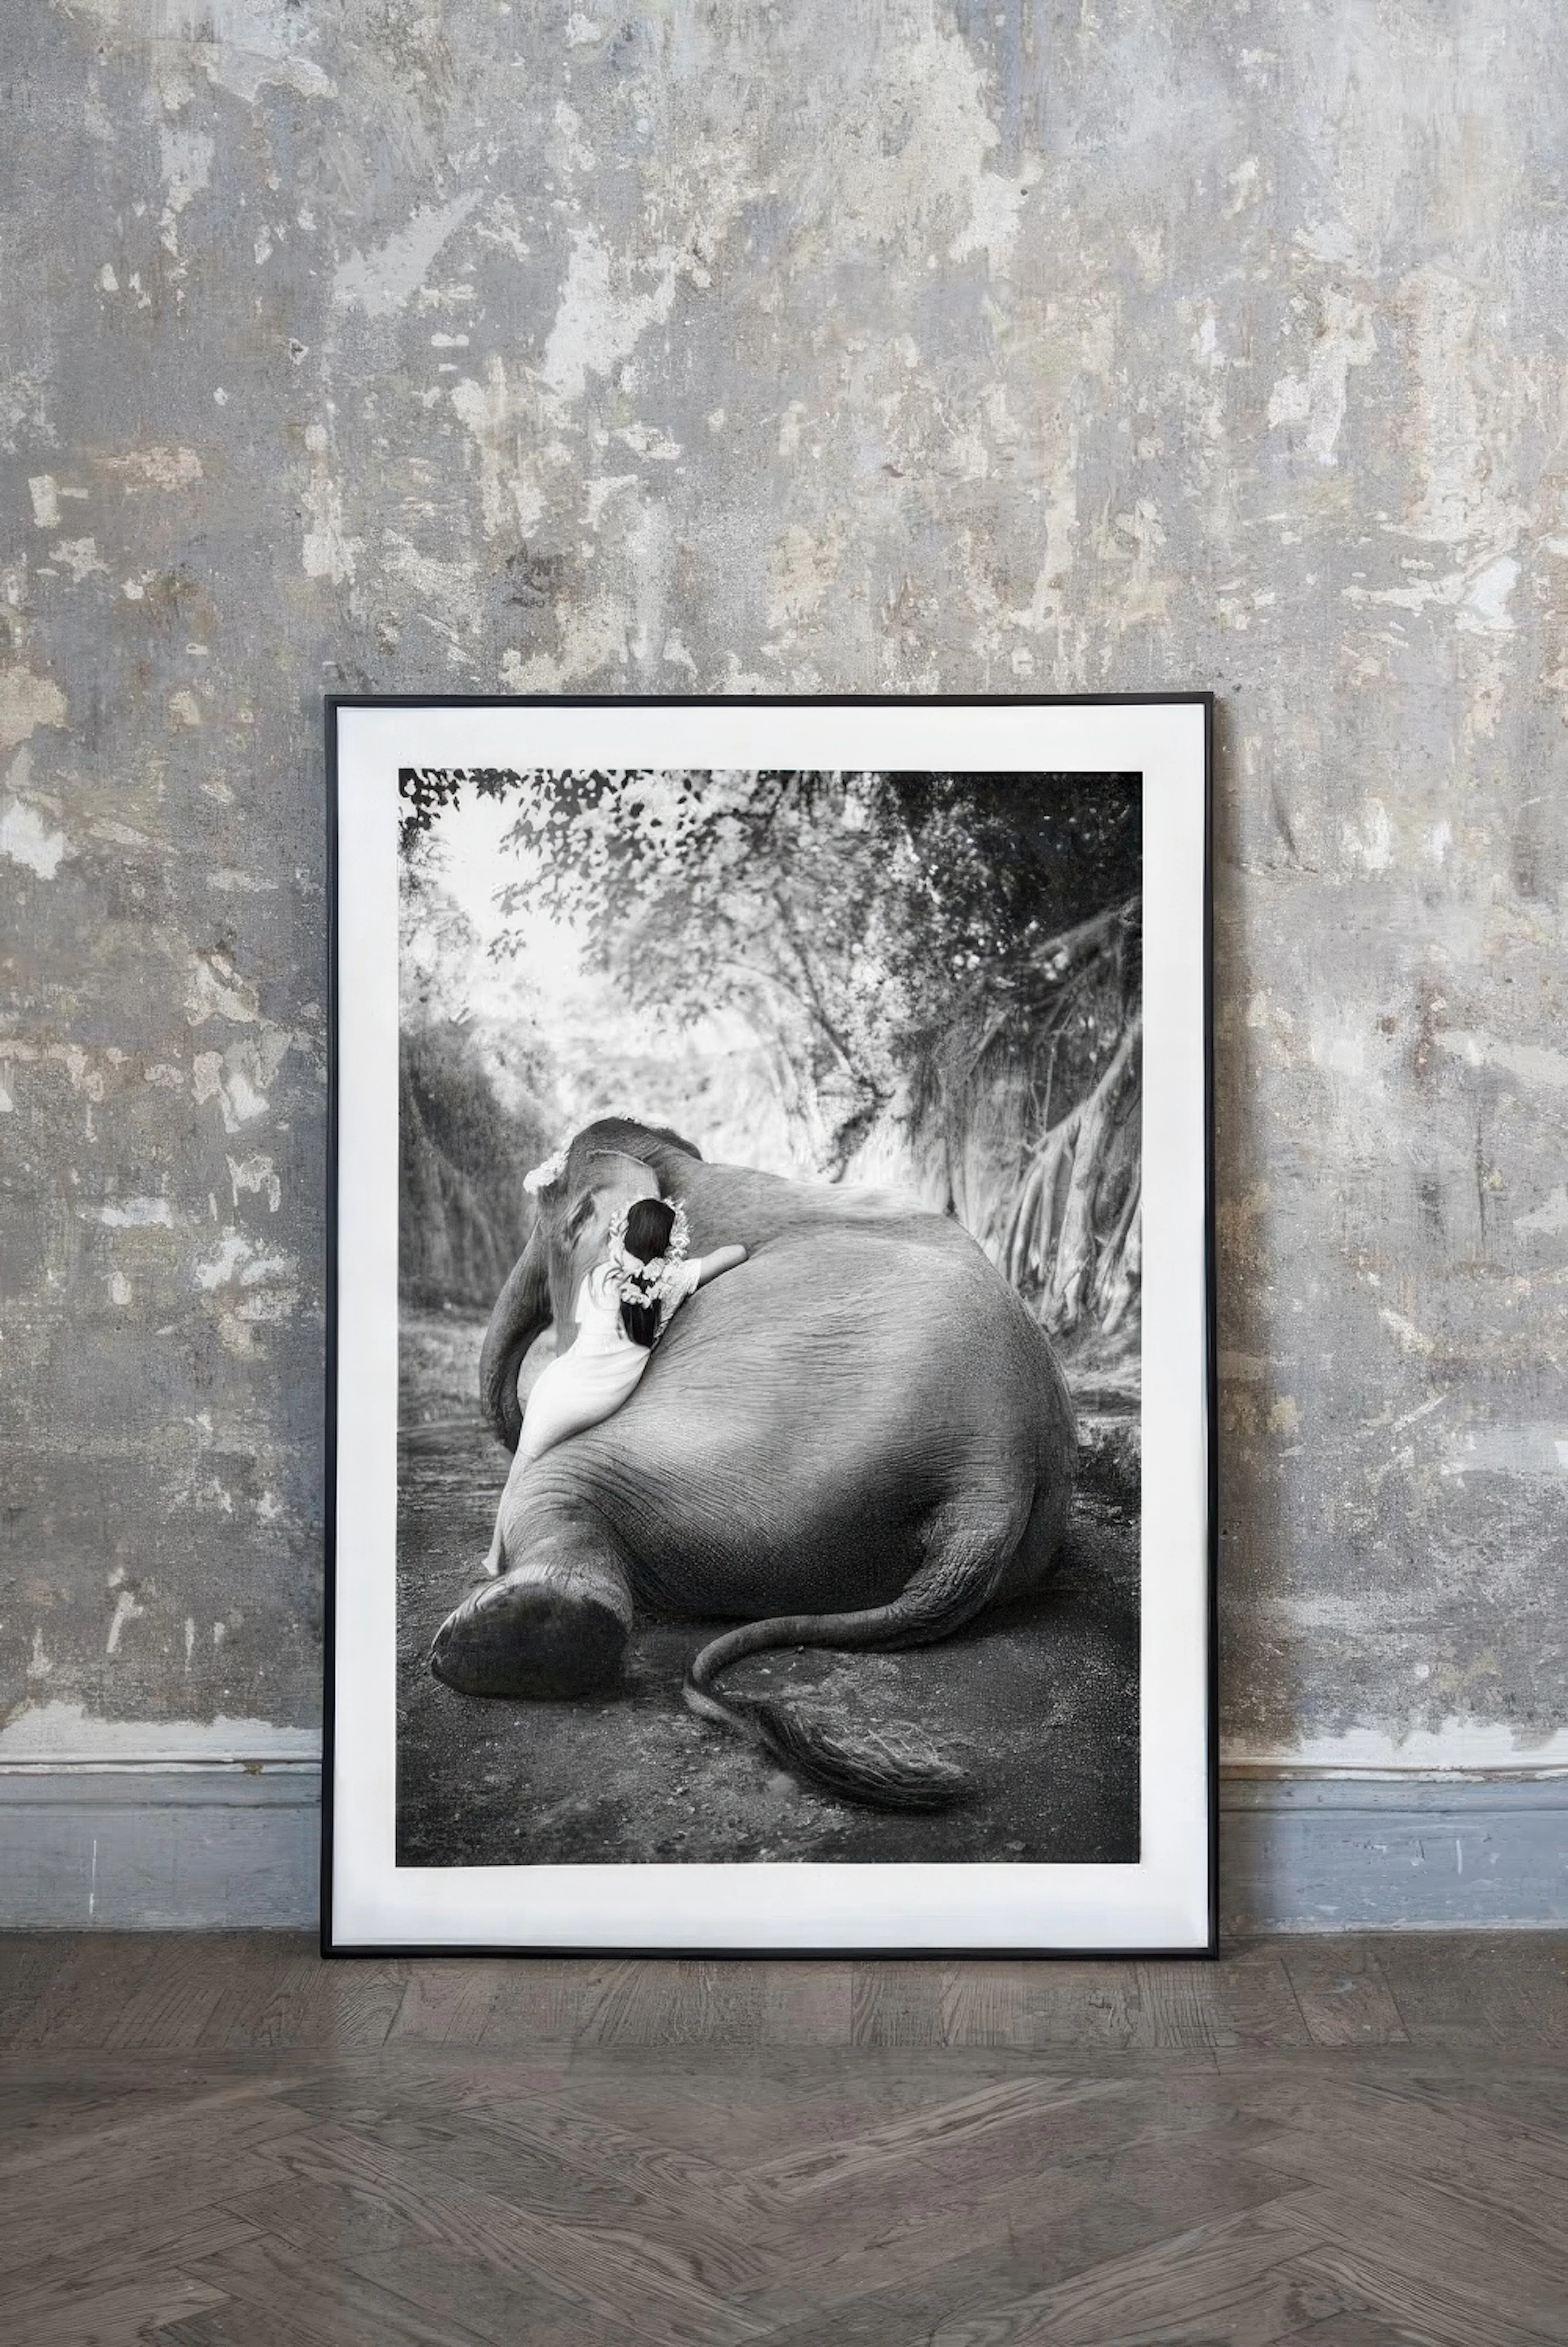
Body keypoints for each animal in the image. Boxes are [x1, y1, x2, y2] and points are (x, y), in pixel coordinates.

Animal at [429, 1115, 1079, 1809]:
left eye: (552, 1222)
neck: (681, 1170)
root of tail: (993, 1485)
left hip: (747, 1455)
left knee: (561, 1480)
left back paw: (512, 1631)